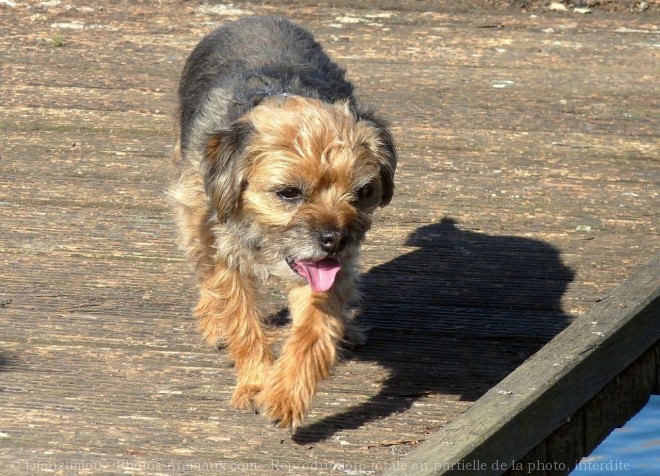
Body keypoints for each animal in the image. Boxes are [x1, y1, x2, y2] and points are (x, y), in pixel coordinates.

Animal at [170, 16, 398, 430]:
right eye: (289, 192)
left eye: (361, 192)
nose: (335, 239)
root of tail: (252, 18)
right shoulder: (224, 250)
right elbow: (240, 317)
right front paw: (254, 382)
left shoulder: (329, 273)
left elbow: (313, 331)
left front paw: (286, 394)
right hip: (192, 214)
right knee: (205, 273)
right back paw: (213, 322)